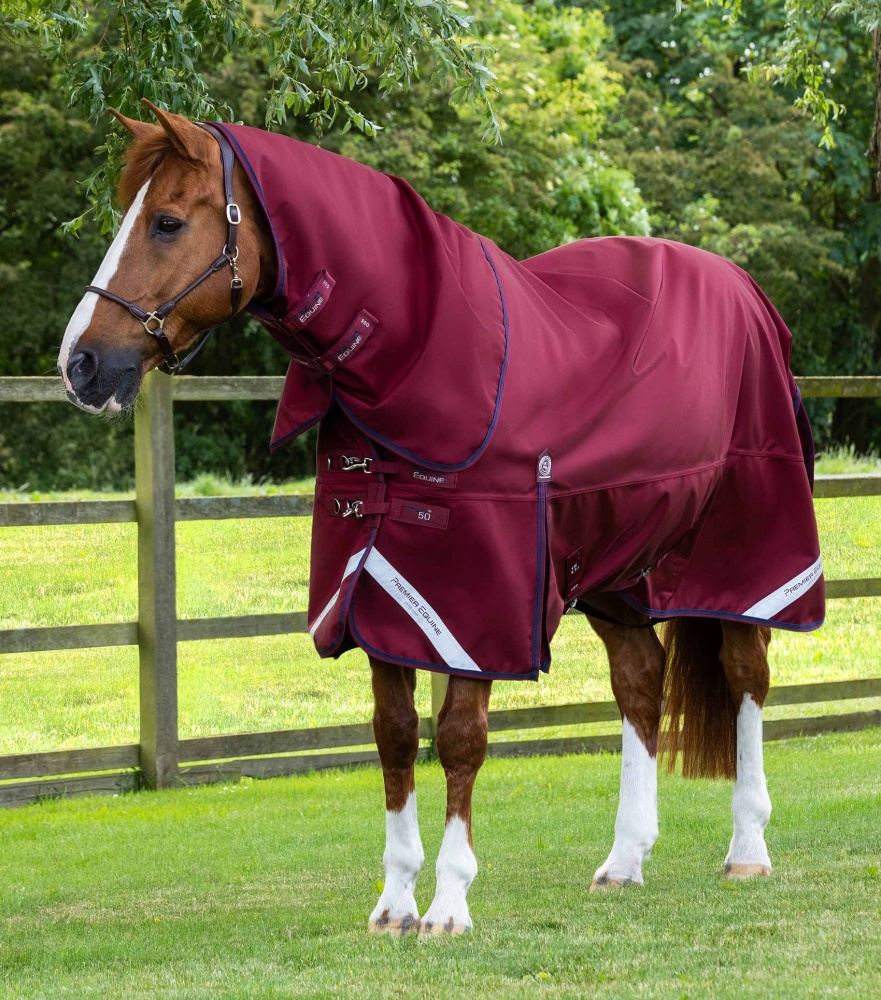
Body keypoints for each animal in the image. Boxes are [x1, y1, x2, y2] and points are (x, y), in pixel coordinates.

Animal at [58, 101, 824, 936]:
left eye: (166, 222)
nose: (80, 364)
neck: (412, 362)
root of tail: (744, 291)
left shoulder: (478, 603)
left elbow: (458, 739)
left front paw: (450, 904)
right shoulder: (370, 588)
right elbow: (394, 738)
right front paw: (394, 903)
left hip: (743, 550)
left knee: (745, 674)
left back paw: (747, 848)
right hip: (616, 566)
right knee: (639, 680)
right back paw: (623, 860)